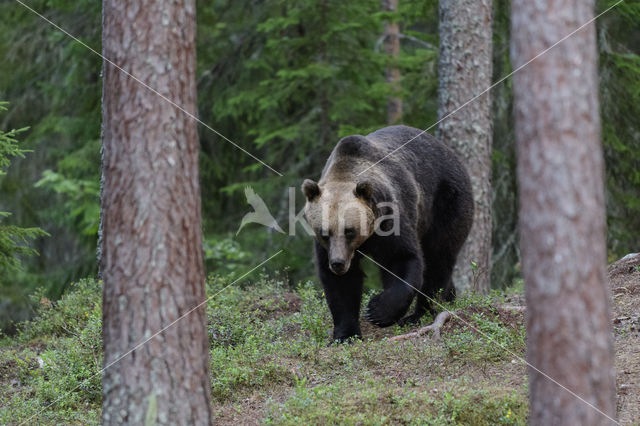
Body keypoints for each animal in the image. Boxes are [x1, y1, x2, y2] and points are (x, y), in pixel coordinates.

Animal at [302, 125, 472, 342]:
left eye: (349, 230)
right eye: (324, 233)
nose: (338, 263)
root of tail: (452, 154)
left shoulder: (390, 217)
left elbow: (400, 258)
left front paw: (377, 311)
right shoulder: (327, 248)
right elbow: (341, 285)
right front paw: (346, 335)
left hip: (446, 201)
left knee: (438, 255)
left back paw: (421, 312)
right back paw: (450, 297)